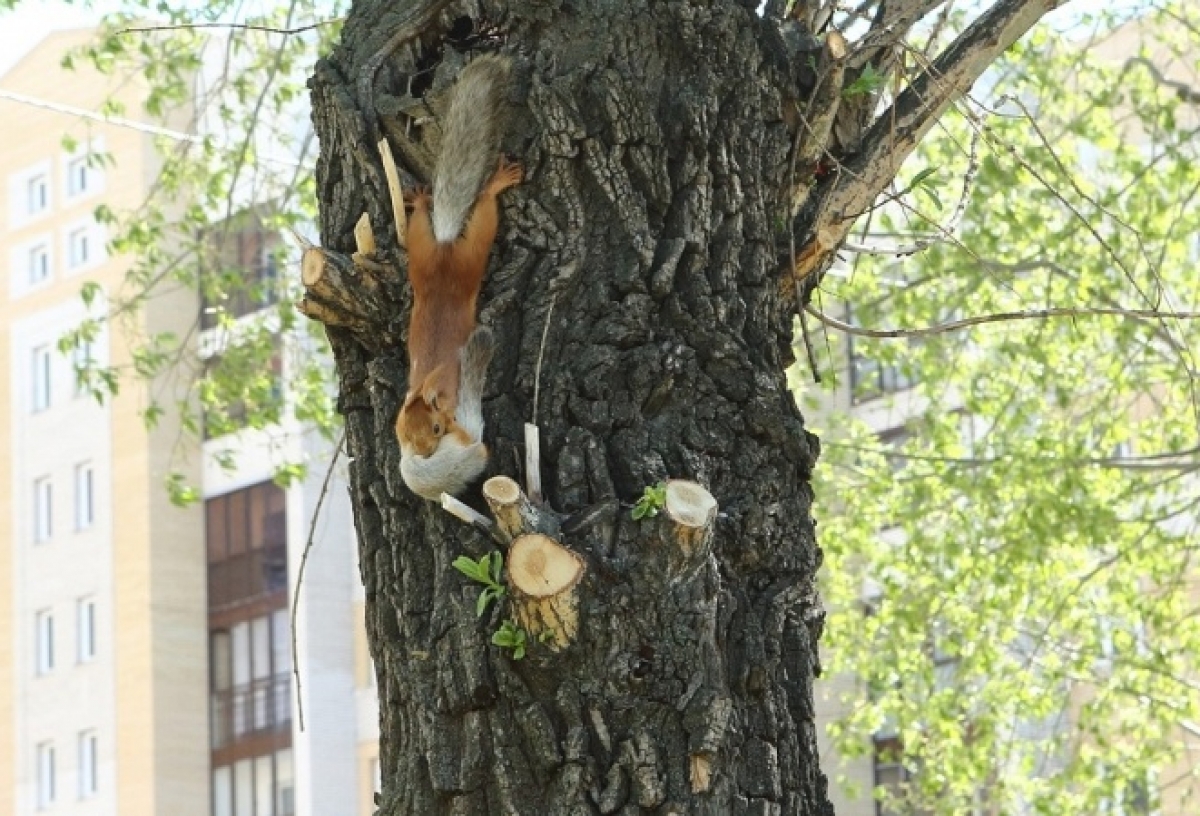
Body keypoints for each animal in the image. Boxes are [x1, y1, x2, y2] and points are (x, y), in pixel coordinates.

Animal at [393, 52, 520, 496]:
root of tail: (446, 250)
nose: (426, 454)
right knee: (425, 226)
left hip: (473, 251)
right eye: (405, 434)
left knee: (485, 209)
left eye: (436, 427)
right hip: (420, 252)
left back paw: (495, 184)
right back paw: (418, 200)